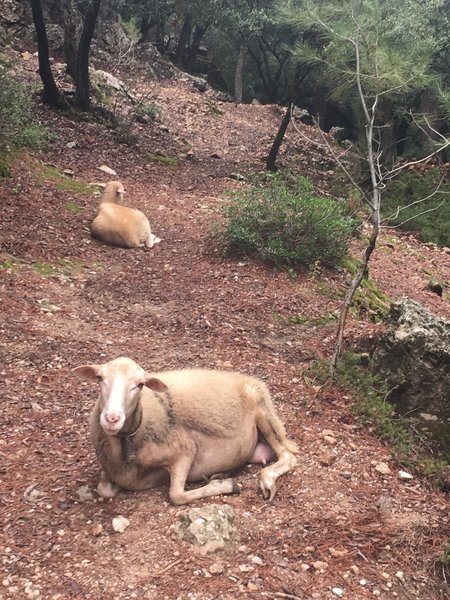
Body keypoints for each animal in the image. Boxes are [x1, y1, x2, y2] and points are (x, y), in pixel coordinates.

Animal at [72, 358, 298, 504]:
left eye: (140, 384)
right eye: (100, 378)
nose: (111, 419)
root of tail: (249, 379)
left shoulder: (184, 451)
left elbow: (176, 496)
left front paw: (226, 486)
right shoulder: (115, 471)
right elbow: (104, 490)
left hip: (264, 415)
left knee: (288, 457)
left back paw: (266, 480)